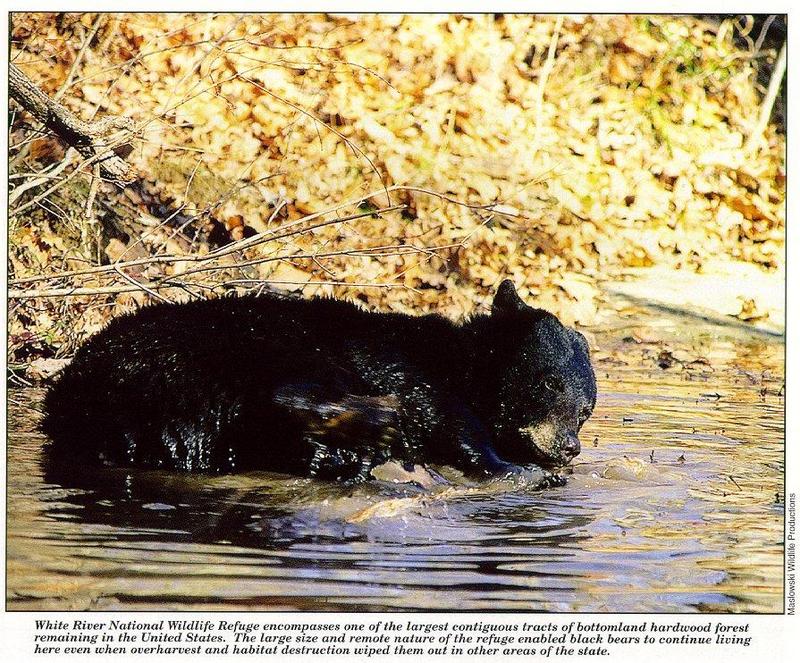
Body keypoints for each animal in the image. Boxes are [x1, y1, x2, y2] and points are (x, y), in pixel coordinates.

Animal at [42, 280, 592, 488]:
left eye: (586, 409)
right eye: (547, 384)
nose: (569, 447)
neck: (463, 363)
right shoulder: (407, 364)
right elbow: (444, 414)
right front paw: (517, 468)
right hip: (251, 346)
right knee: (291, 389)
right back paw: (367, 429)